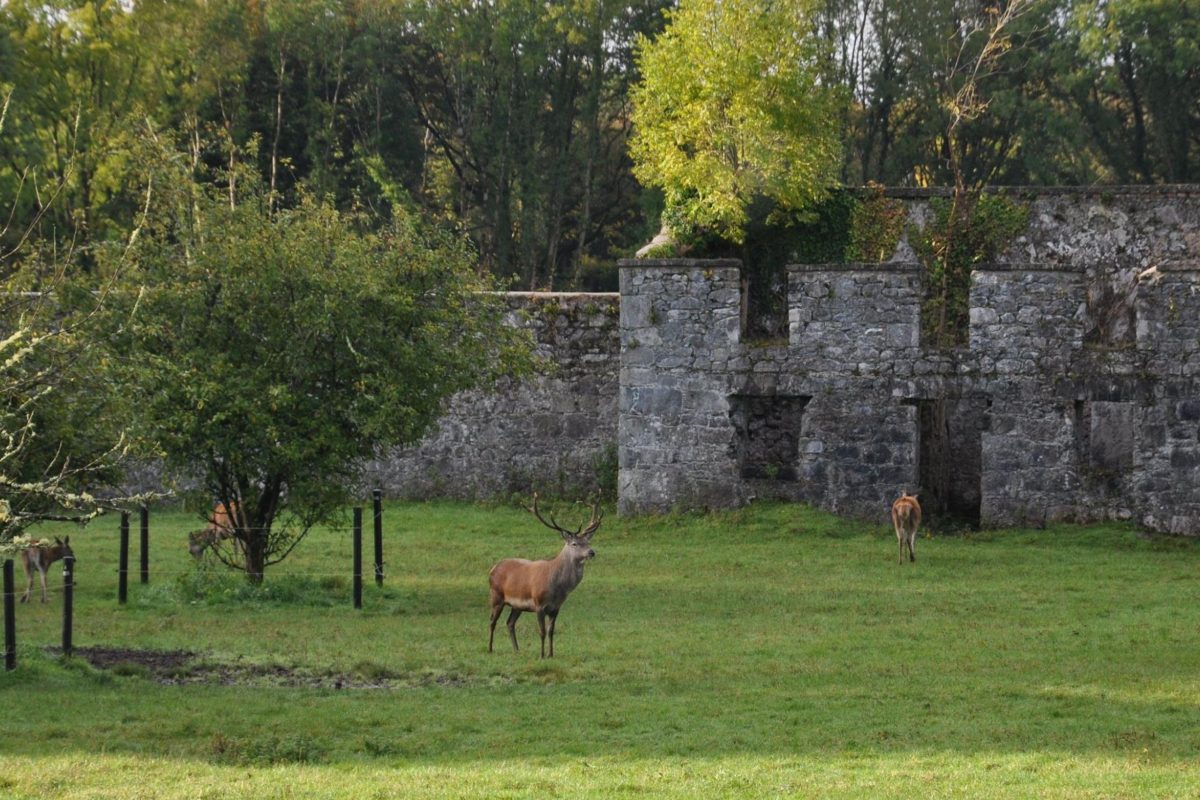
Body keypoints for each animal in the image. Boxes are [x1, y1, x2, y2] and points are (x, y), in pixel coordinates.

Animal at [488, 493, 600, 658]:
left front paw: (551, 654)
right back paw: (490, 648)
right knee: (492, 621)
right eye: (574, 543)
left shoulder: (556, 608)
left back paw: (517, 649)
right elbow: (541, 632)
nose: (591, 552)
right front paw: (541, 655)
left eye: (588, 541)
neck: (558, 589)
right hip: (496, 596)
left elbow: (551, 631)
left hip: (517, 605)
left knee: (510, 623)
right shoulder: (539, 604)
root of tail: (493, 568)